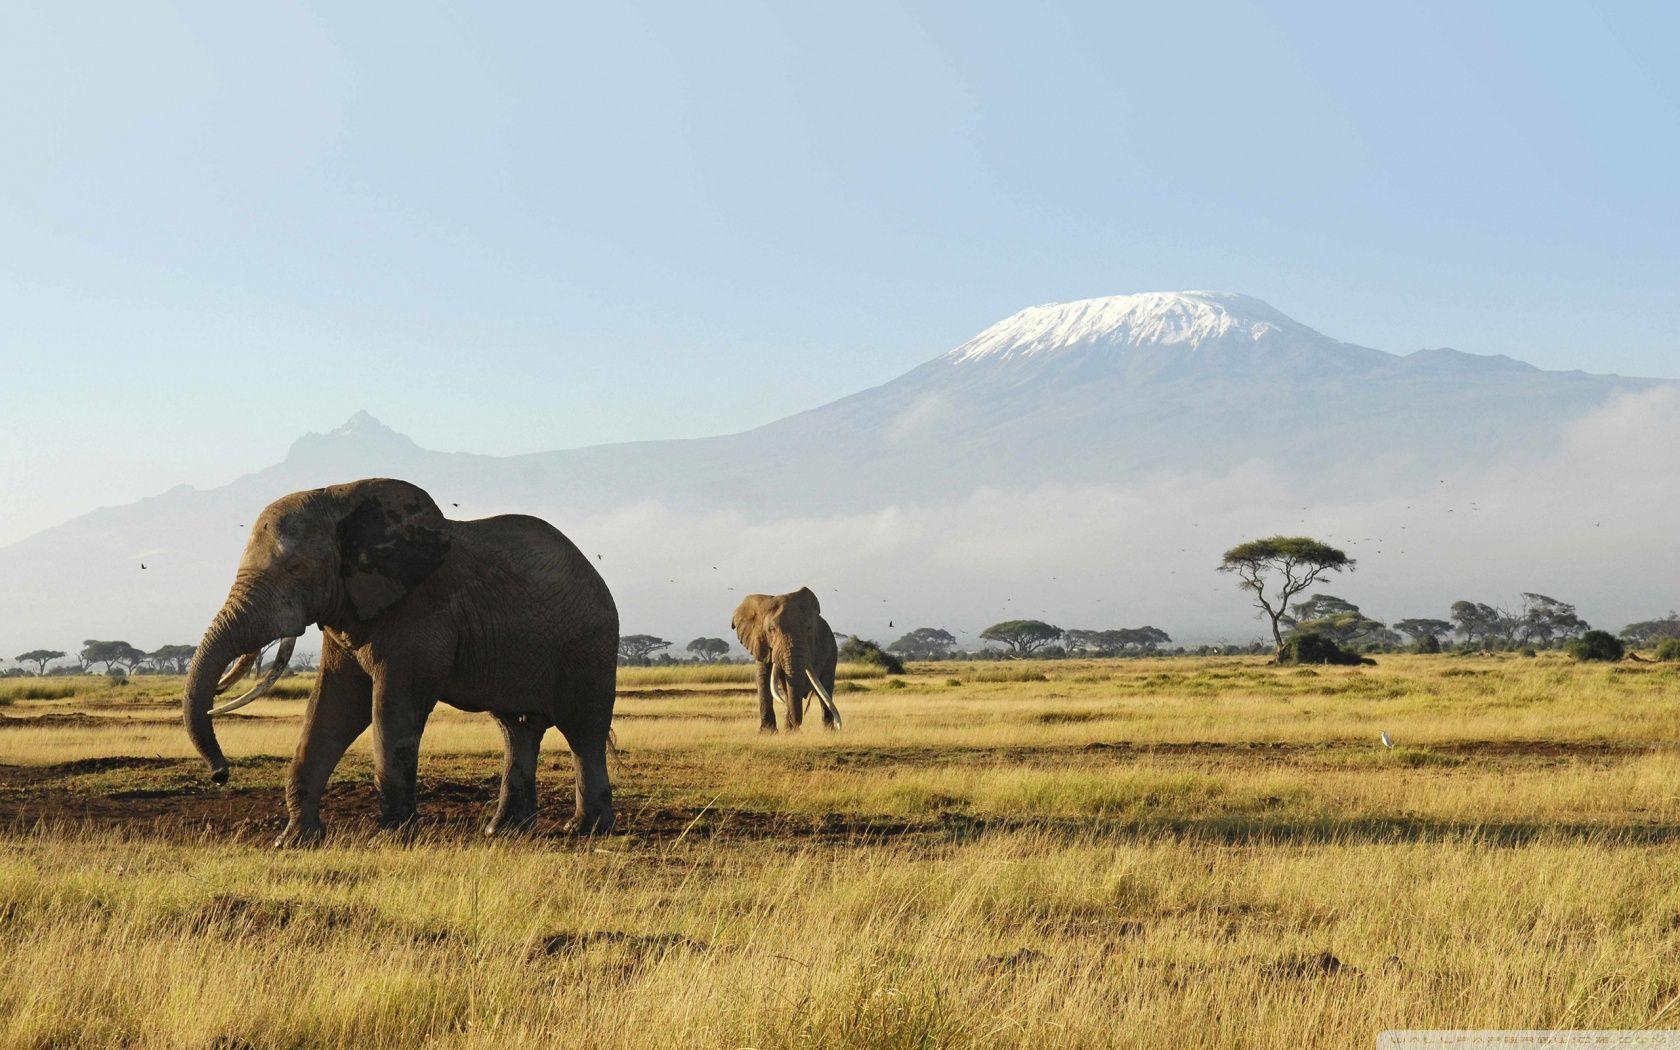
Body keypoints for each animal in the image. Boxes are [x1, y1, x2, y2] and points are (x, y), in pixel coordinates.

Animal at [182, 477, 619, 845]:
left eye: (295, 568)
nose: (220, 774)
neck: (340, 497)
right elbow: (334, 707)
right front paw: (294, 841)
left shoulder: (419, 613)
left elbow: (392, 708)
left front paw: (392, 837)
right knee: (517, 728)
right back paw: (503, 831)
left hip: (589, 644)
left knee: (584, 731)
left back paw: (585, 829)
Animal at [730, 587, 840, 732]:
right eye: (771, 629)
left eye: (809, 629)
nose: (797, 725)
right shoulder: (760, 642)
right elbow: (763, 677)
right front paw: (768, 732)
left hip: (832, 650)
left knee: (825, 688)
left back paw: (828, 732)